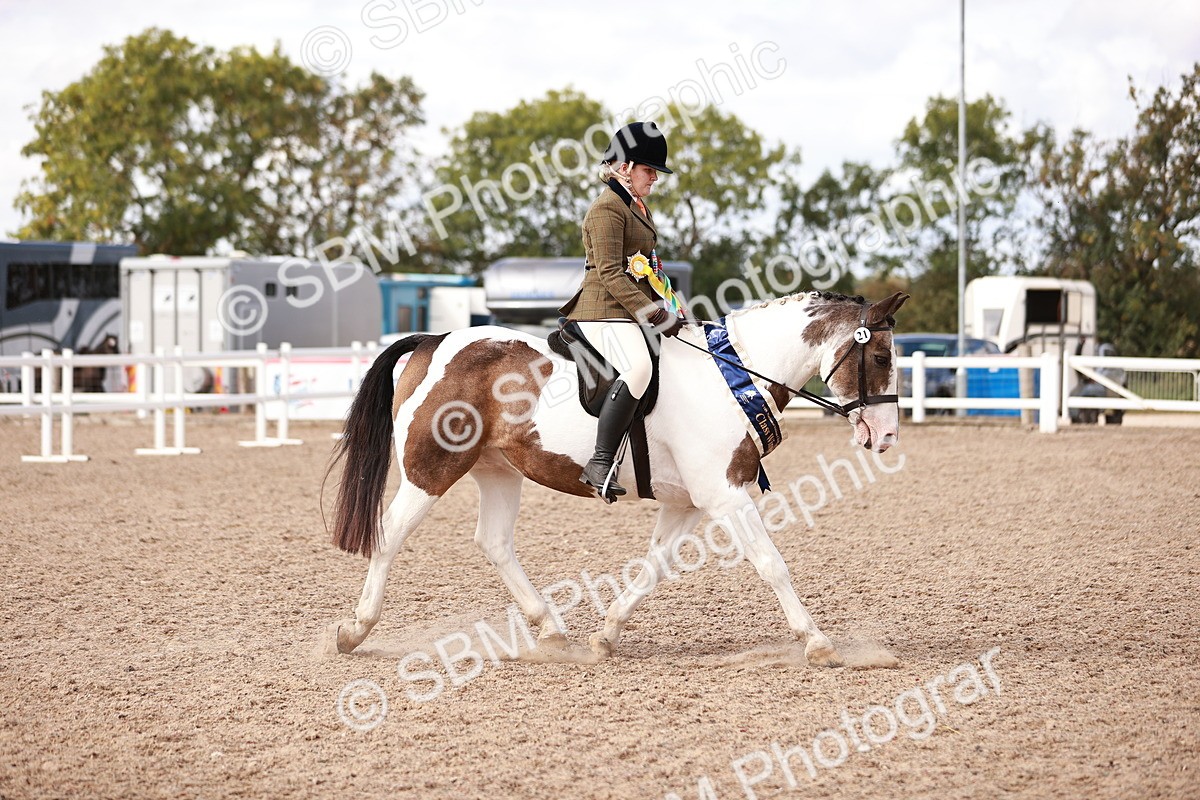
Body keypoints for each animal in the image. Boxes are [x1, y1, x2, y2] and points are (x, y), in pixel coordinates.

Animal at [328, 290, 909, 667]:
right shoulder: (724, 495)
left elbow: (653, 569)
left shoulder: (687, 503)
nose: (885, 437)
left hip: (498, 470)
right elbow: (772, 564)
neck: (733, 375)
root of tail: (435, 340)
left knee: (493, 541)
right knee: (390, 535)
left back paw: (552, 630)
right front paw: (818, 642)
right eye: (881, 356)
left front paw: (605, 637)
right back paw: (354, 631)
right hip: (431, 469)